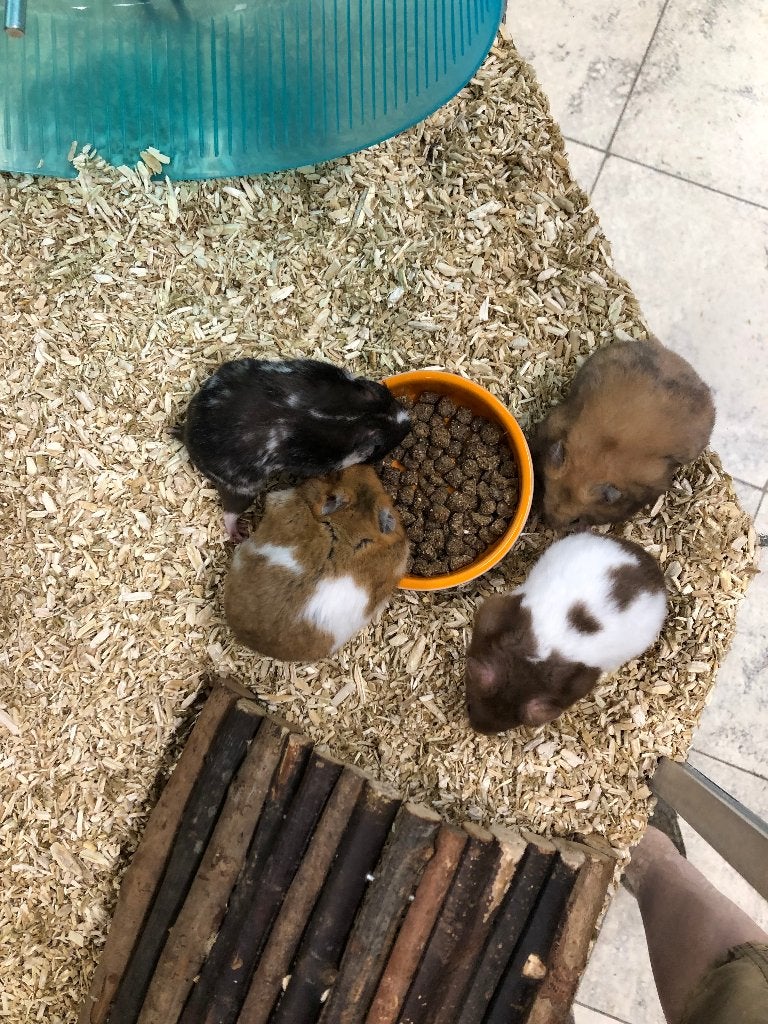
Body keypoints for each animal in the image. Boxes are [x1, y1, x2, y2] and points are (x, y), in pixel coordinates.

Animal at [173, 357, 411, 541]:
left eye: (381, 393)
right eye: (378, 447)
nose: (408, 423)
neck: (354, 416)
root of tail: (189, 435)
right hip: (242, 486)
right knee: (230, 512)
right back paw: (238, 535)